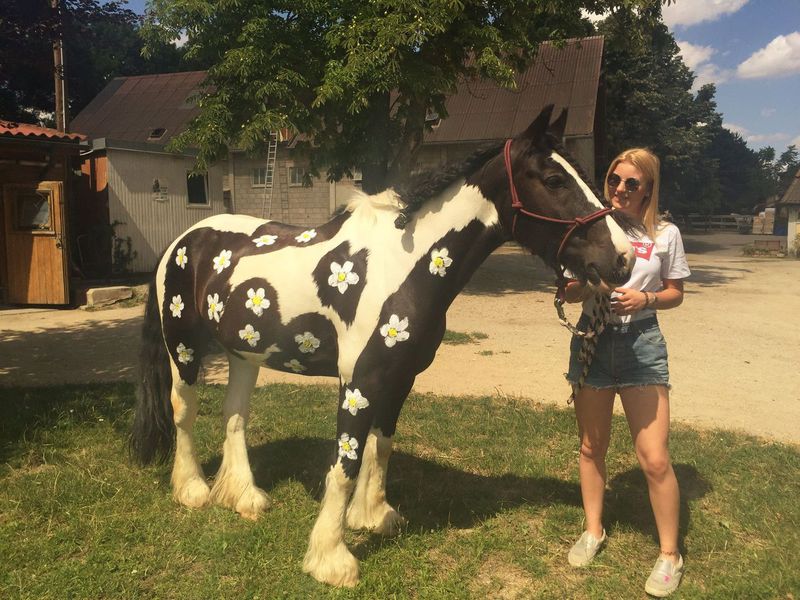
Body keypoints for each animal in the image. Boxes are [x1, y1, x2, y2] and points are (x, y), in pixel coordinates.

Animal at [130, 104, 636, 587]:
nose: (623, 258)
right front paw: (331, 559)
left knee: (235, 416)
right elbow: (345, 463)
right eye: (553, 180)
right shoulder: (359, 380)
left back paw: (245, 497)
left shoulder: (400, 377)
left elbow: (382, 446)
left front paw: (372, 516)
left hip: (243, 354)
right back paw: (193, 490)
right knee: (184, 411)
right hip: (184, 348)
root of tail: (184, 240)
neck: (402, 266)